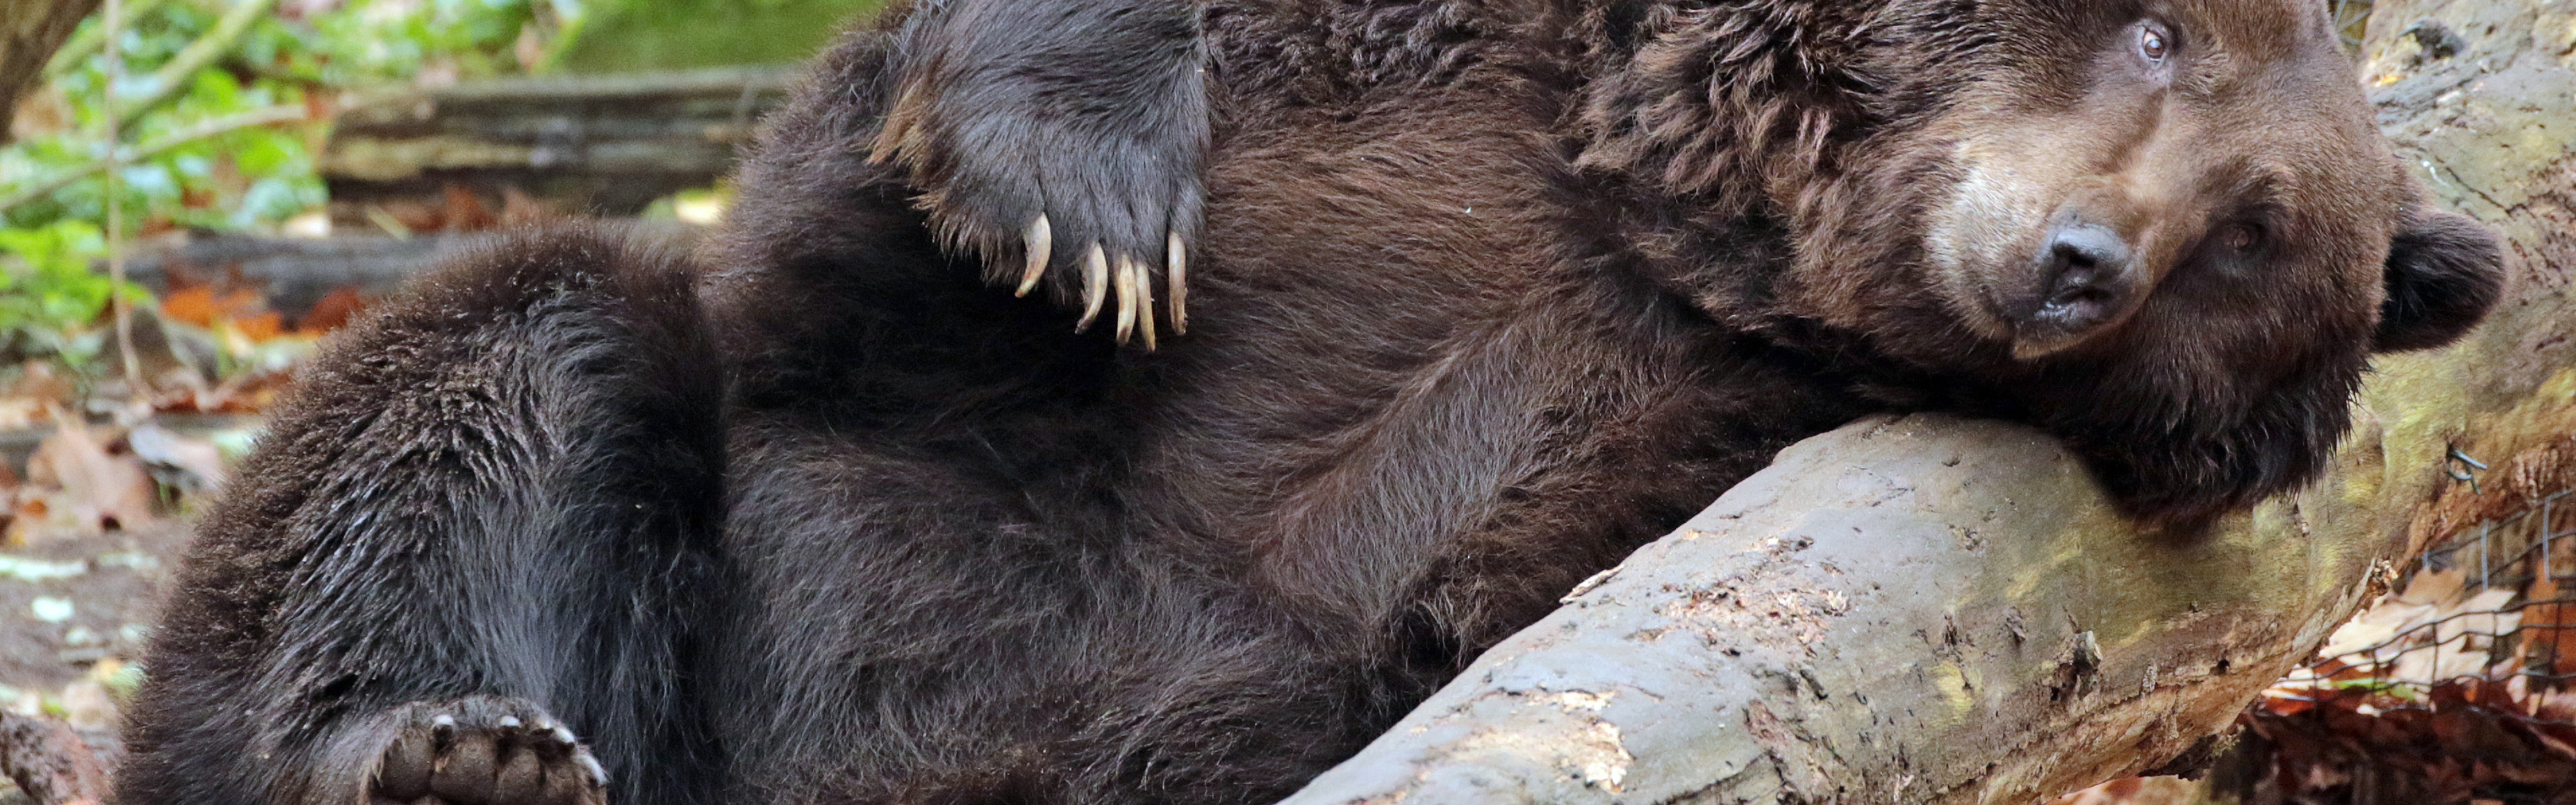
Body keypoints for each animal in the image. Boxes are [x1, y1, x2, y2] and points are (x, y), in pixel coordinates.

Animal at [116, 2, 2493, 805]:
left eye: (2258, 232)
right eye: (2159, 32)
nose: (2075, 258)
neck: (1689, 212)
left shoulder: (1648, 424)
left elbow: (1479, 591)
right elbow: (893, 264)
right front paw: (1078, 191)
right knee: (531, 348)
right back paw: (443, 745)